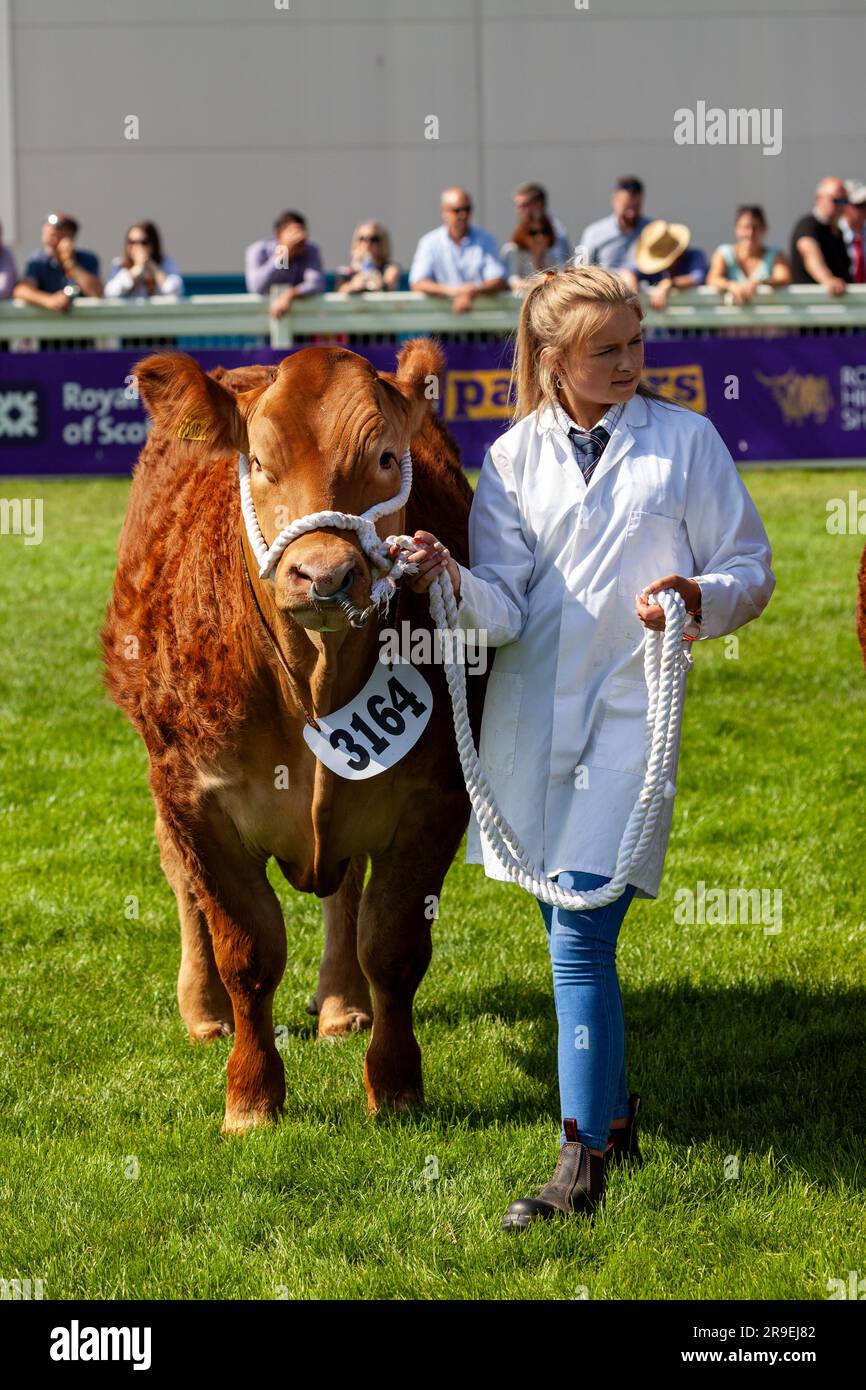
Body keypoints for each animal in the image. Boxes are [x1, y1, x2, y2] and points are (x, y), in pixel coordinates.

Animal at [101, 339, 485, 1134]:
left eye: (384, 456)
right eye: (259, 461)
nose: (324, 574)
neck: (313, 679)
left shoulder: (435, 798)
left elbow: (393, 944)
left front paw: (395, 1086)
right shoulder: (197, 797)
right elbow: (246, 949)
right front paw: (250, 1097)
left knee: (347, 893)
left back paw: (341, 1005)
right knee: (180, 881)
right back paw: (203, 1011)